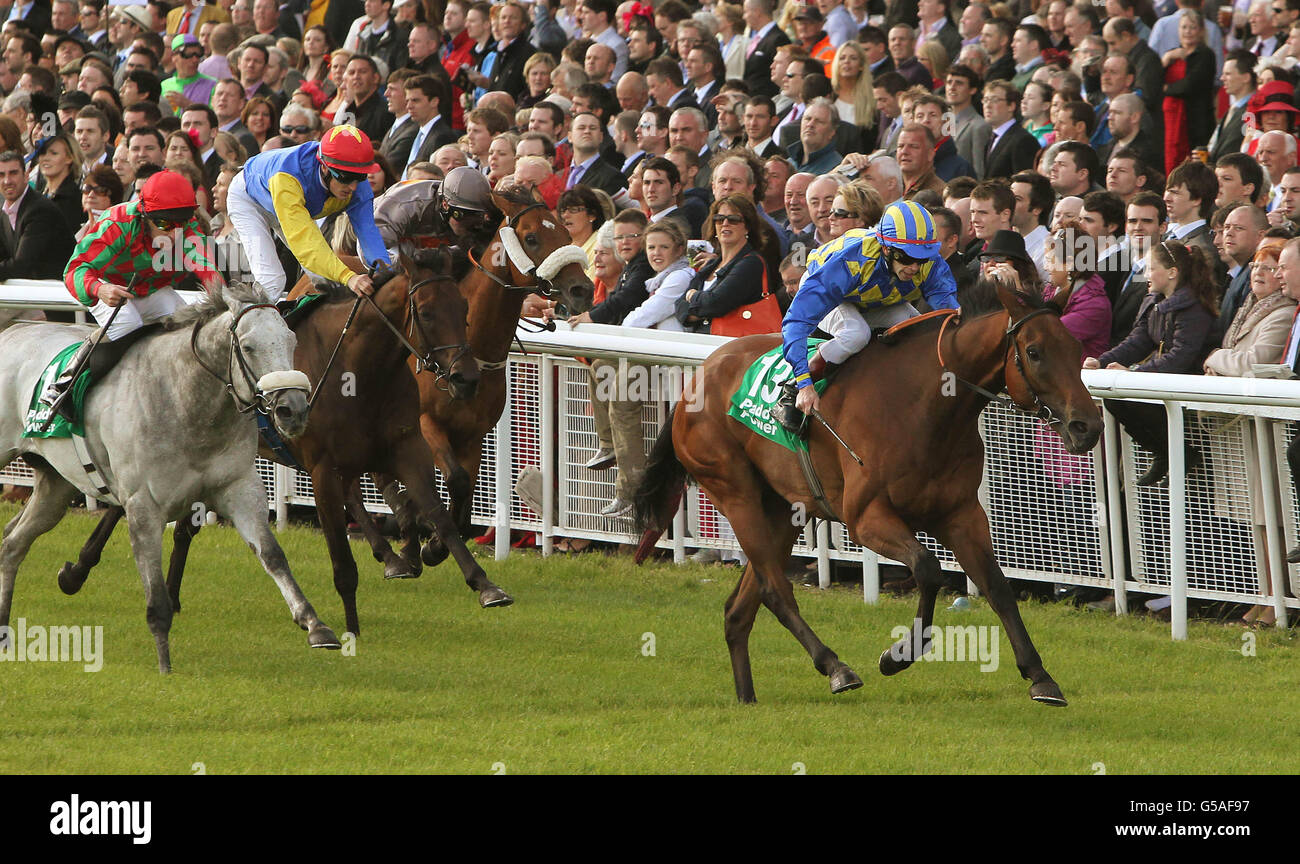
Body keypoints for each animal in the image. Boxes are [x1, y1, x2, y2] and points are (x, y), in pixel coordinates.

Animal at [0, 283, 340, 675]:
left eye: (290, 340)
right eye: (249, 346)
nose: (293, 410)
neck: (187, 402)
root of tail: (12, 329)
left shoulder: (239, 487)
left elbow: (272, 554)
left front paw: (315, 624)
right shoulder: (143, 506)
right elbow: (155, 591)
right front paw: (164, 663)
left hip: (56, 485)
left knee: (13, 543)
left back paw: (4, 630)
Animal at [634, 279, 1102, 706]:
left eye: (1076, 348)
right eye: (1035, 352)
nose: (1088, 426)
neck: (924, 407)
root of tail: (697, 378)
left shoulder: (960, 513)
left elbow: (997, 586)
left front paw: (1040, 676)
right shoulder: (866, 517)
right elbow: (929, 569)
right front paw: (898, 656)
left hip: (783, 509)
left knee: (740, 608)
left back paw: (747, 697)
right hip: (735, 492)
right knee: (774, 590)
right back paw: (835, 667)